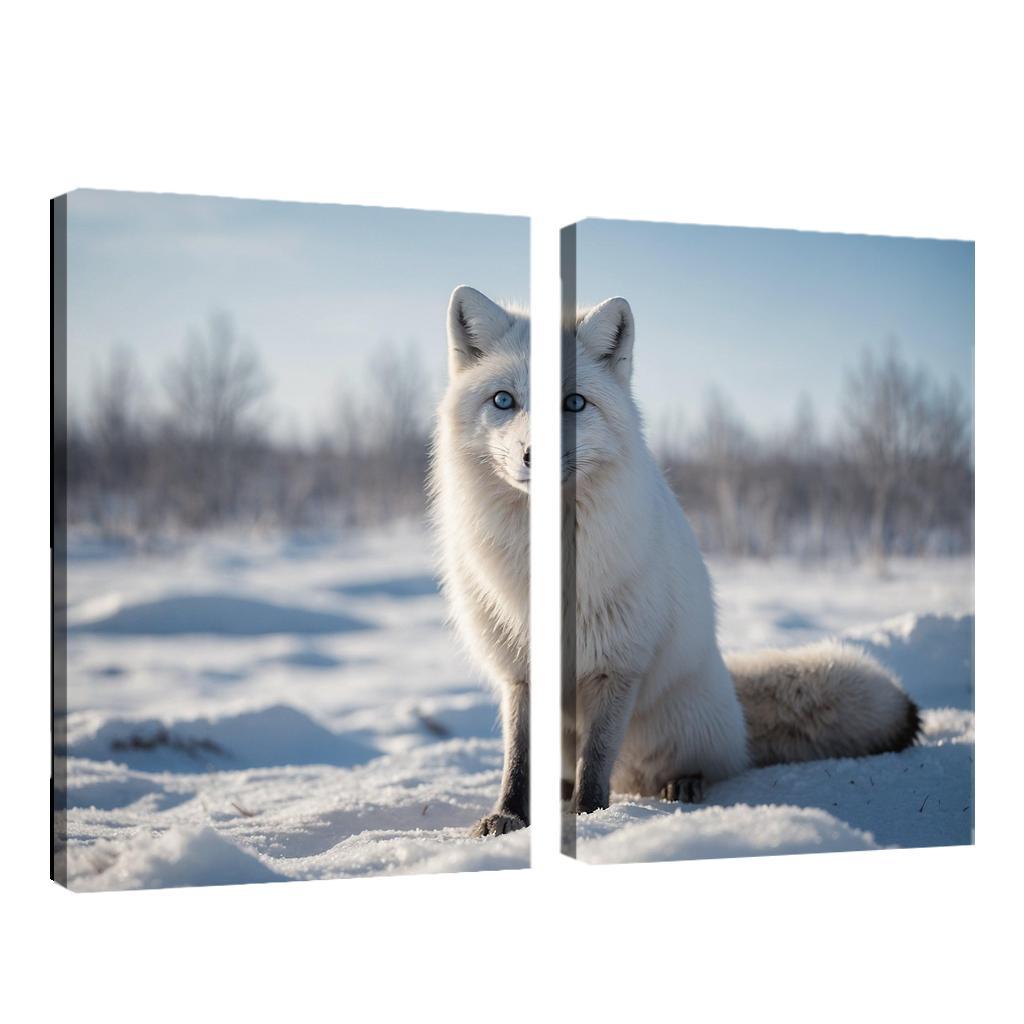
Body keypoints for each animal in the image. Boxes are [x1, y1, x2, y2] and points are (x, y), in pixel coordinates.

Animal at [431, 285, 920, 834]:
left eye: (574, 402)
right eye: (503, 400)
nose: (535, 456)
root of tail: (726, 683)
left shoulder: (618, 665)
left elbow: (595, 762)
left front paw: (590, 817)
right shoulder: (519, 671)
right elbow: (518, 759)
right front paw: (510, 816)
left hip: (680, 723)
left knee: (703, 764)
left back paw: (682, 783)